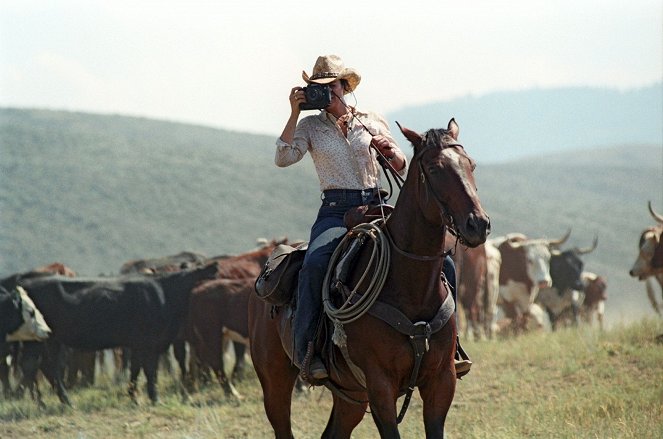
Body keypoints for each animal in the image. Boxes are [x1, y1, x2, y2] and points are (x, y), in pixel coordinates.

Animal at [16, 262, 219, 408]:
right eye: (202, 272)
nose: (215, 267)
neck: (166, 293)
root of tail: (26, 281)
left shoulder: (138, 343)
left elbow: (135, 369)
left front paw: (134, 397)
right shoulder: (149, 342)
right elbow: (150, 371)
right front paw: (154, 398)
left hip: (47, 340)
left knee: (45, 367)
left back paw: (58, 401)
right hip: (37, 339)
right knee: (33, 366)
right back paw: (46, 402)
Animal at [246, 118, 490, 438]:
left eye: (470, 164)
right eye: (434, 168)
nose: (478, 224)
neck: (410, 286)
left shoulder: (441, 381)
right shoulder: (380, 387)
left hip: (351, 395)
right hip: (275, 382)